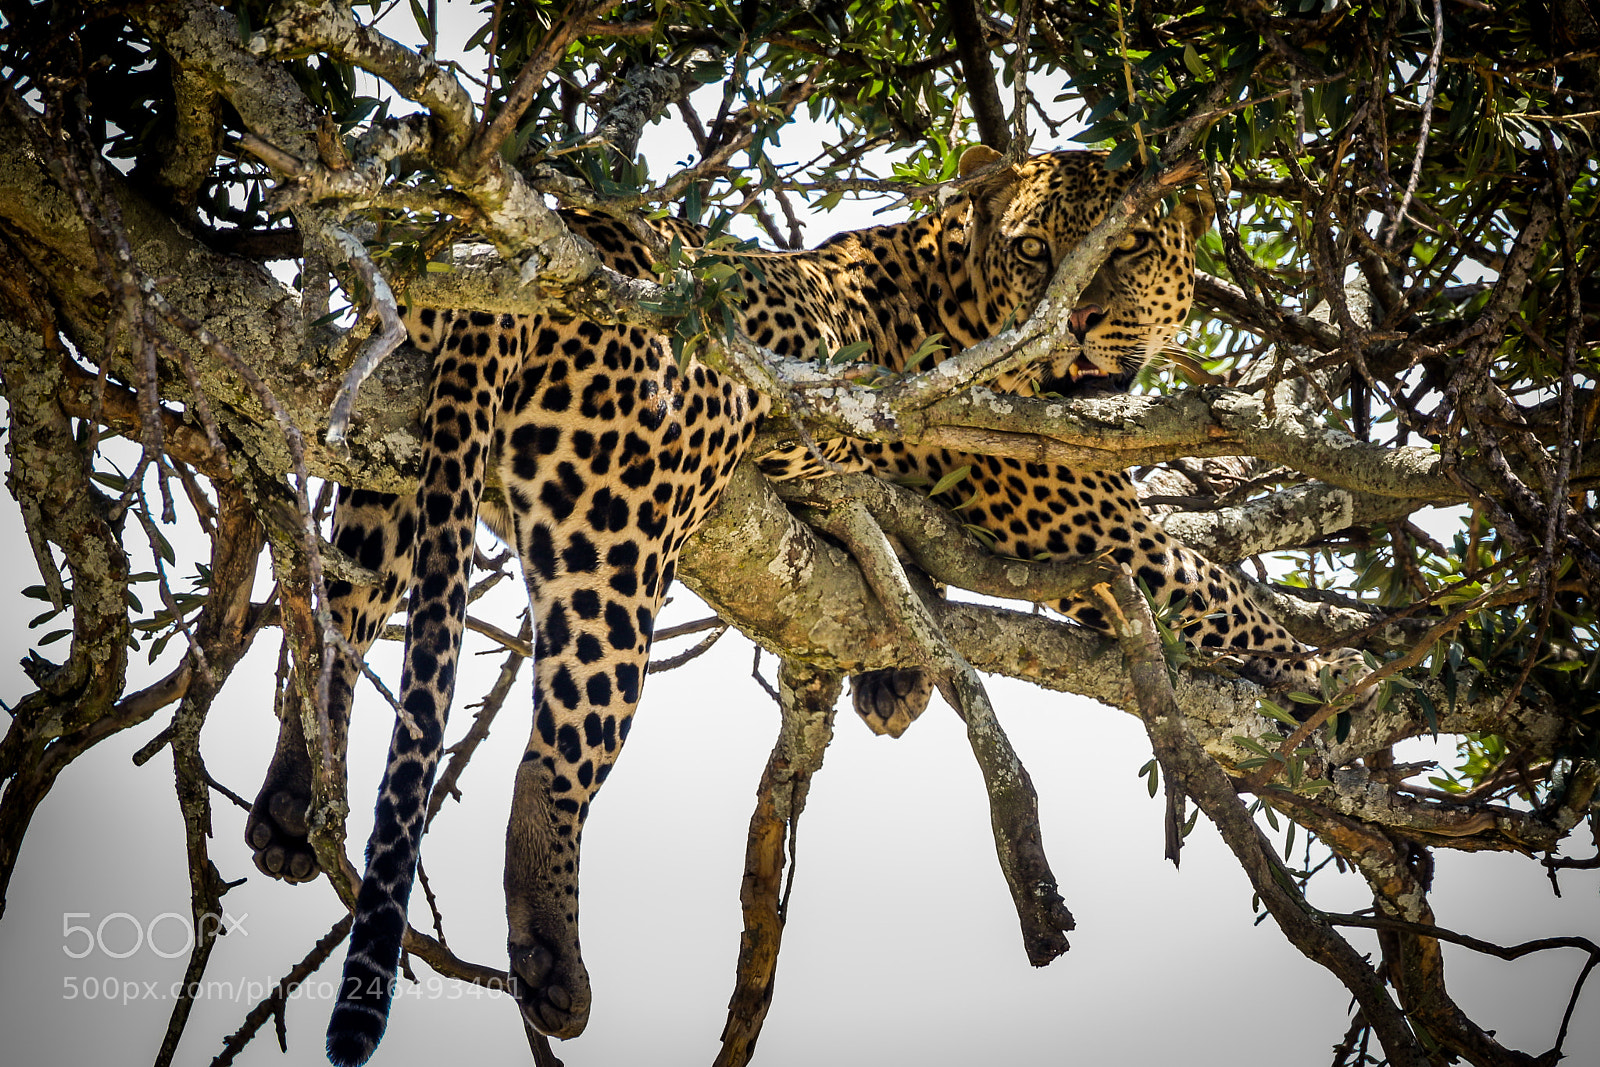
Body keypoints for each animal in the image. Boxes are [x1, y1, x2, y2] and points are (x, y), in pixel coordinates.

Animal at [240, 146, 1371, 1066]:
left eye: (1128, 245)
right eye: (1034, 250)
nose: (1080, 320)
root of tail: (509, 274)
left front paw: (894, 673)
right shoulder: (1084, 511)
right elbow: (1222, 593)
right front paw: (1334, 677)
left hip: (391, 472)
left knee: (333, 626)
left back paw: (294, 804)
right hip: (620, 521)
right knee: (554, 751)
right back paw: (553, 966)